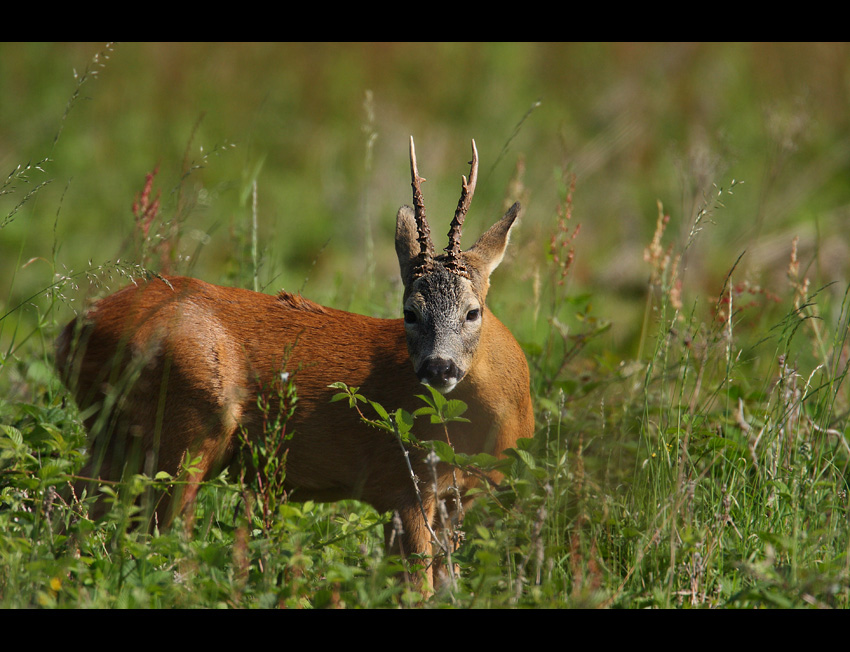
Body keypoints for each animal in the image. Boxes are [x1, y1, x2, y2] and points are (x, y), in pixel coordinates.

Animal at [54, 136, 528, 584]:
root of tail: (73, 330)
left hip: (115, 434)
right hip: (185, 426)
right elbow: (418, 587)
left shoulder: (454, 499)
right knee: (161, 541)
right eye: (409, 312)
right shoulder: (405, 483)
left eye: (472, 311)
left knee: (70, 506)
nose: (437, 368)